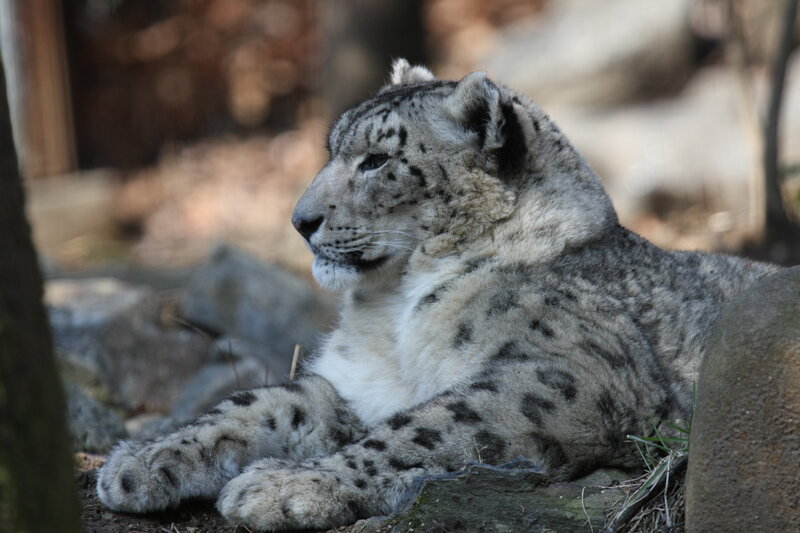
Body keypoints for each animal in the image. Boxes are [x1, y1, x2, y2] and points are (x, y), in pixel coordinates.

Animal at [97, 60, 779, 531]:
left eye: (377, 160)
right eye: (332, 149)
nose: (299, 221)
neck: (391, 312)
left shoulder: (561, 376)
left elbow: (421, 428)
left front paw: (283, 486)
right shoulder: (357, 383)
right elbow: (256, 404)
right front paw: (140, 461)